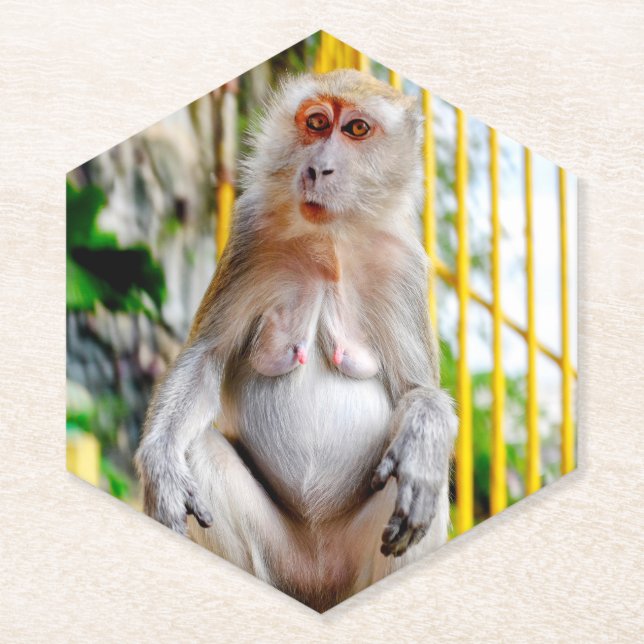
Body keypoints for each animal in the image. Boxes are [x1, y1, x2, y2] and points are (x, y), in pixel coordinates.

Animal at [135, 69, 457, 612]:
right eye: (316, 122)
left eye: (356, 129)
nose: (317, 169)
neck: (330, 241)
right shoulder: (250, 231)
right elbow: (207, 356)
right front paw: (160, 466)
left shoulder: (406, 266)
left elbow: (417, 393)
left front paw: (425, 441)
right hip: (280, 560)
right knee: (199, 450)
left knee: (417, 494)